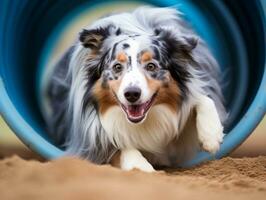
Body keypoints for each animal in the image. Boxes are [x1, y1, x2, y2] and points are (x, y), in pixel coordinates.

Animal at [42, 6, 228, 172]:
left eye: (151, 66)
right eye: (117, 67)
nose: (132, 94)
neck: (144, 122)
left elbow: (201, 97)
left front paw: (211, 136)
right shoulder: (90, 141)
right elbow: (119, 145)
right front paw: (140, 167)